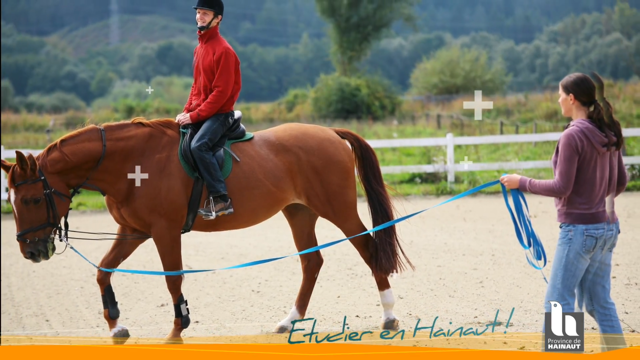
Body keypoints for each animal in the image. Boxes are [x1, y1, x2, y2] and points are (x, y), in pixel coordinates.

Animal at [1, 117, 416, 344]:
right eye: (12, 200)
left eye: (33, 200)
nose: (31, 252)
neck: (131, 163)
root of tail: (329, 132)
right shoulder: (133, 230)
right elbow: (103, 270)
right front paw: (116, 326)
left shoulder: (164, 231)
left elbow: (173, 278)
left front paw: (176, 330)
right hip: (299, 213)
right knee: (311, 263)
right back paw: (289, 321)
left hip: (338, 209)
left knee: (369, 250)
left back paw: (388, 316)